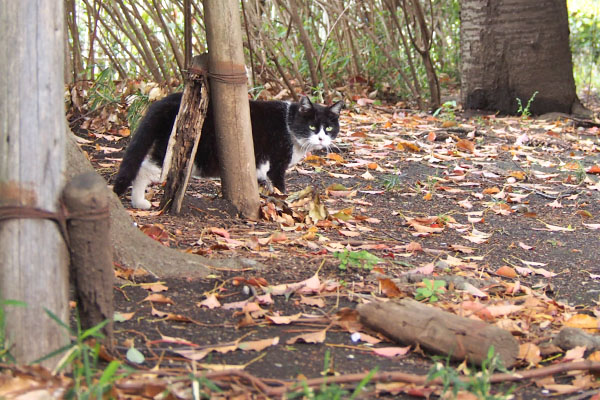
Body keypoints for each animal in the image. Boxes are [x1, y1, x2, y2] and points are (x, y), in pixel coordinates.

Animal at [112, 94, 342, 209]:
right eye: (312, 126)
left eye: (329, 128)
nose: (321, 139)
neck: (289, 122)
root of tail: (164, 102)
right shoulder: (276, 162)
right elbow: (278, 185)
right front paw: (283, 203)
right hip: (175, 147)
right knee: (144, 169)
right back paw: (139, 202)